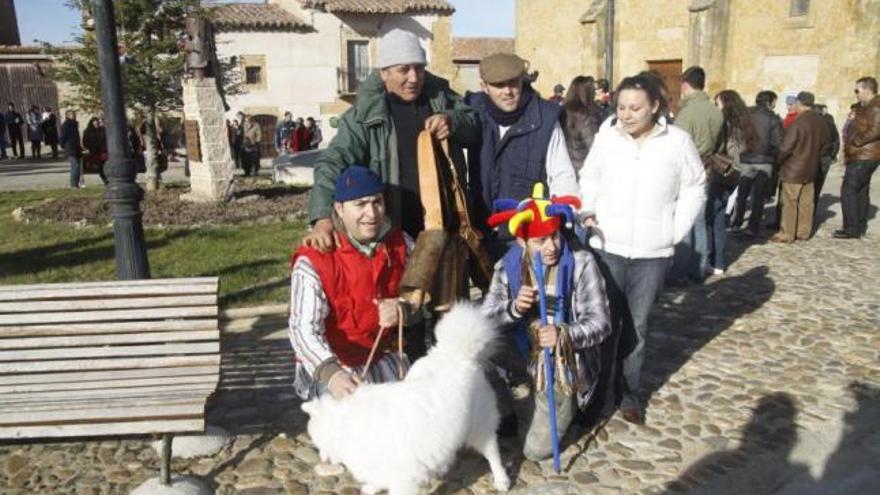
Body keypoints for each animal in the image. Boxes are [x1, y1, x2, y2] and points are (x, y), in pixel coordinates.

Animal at [302, 304, 512, 495]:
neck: (347, 424)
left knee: (493, 453)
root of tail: (459, 355)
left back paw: (501, 479)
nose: (323, 459)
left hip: (480, 428)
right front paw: (373, 487)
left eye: (318, 443)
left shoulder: (404, 475)